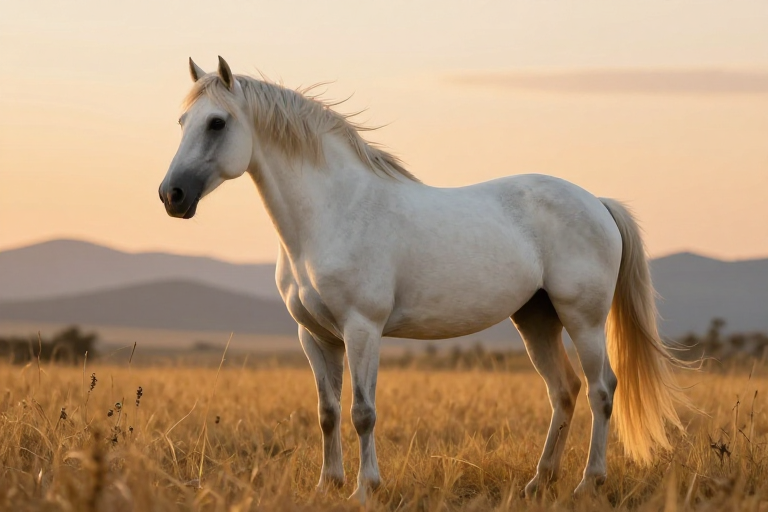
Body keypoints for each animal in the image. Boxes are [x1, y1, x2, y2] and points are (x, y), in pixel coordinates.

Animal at [159, 56, 688, 502]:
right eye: (183, 123)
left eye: (217, 122)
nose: (172, 195)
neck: (332, 212)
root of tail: (596, 201)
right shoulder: (315, 336)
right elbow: (328, 413)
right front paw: (326, 486)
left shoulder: (362, 330)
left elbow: (362, 412)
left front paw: (365, 489)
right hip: (536, 319)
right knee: (564, 391)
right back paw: (539, 482)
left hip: (584, 320)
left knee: (602, 390)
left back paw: (587, 483)